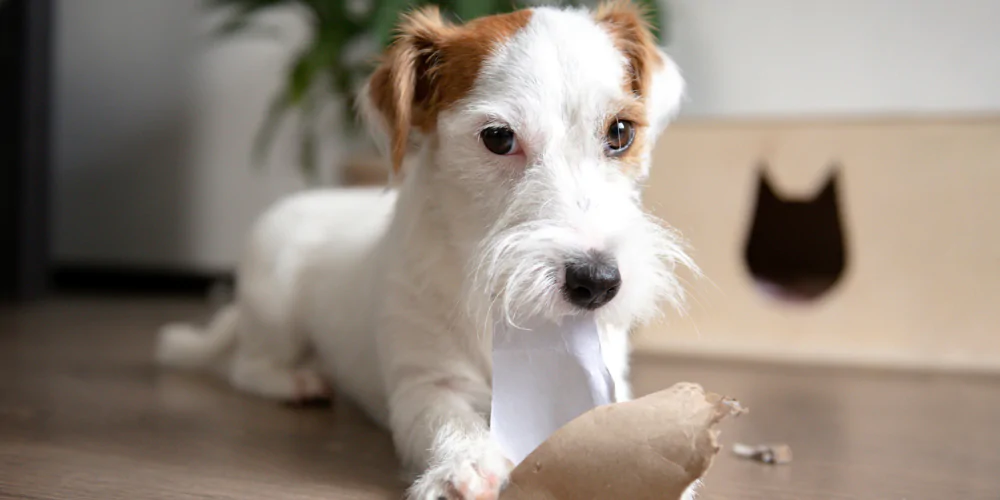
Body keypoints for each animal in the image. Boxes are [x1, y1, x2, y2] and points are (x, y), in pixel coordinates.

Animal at [158, 1, 696, 498]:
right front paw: (466, 465)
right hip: (275, 308)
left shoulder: (605, 377)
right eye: (499, 138)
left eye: (621, 132)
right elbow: (445, 419)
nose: (598, 283)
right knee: (244, 367)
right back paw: (298, 382)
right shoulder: (423, 383)